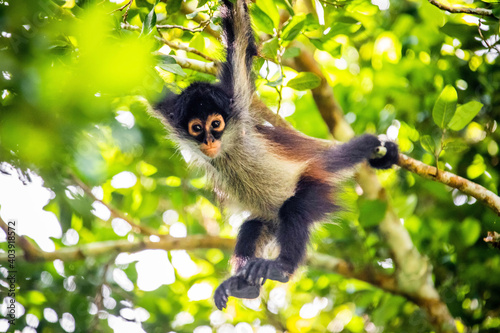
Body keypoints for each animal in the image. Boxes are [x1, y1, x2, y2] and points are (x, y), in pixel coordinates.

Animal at [156, 0, 398, 308]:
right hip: (270, 218)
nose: (209, 140)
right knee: (253, 226)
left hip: (313, 186)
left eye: (216, 124)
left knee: (294, 209)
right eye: (197, 128)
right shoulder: (170, 110)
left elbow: (238, 31)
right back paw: (245, 286)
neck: (227, 147)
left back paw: (281, 269)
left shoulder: (236, 100)